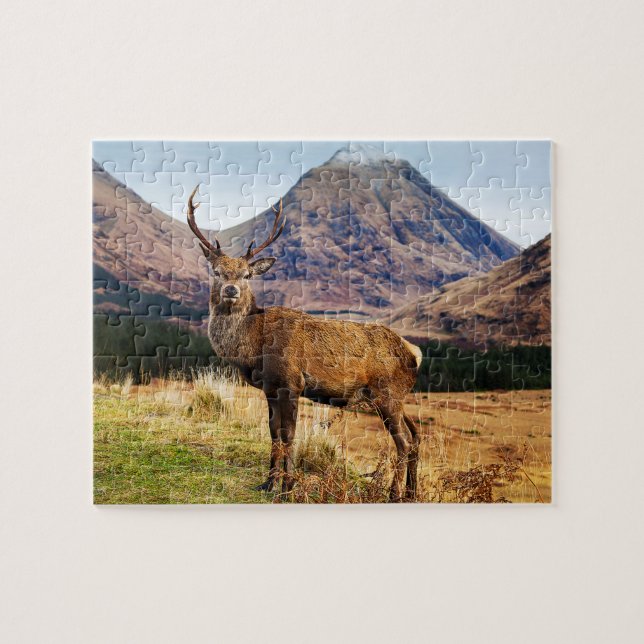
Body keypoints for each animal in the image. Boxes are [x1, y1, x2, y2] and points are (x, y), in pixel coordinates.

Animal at [186, 186, 424, 502]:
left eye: (247, 275)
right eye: (216, 272)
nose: (231, 290)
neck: (254, 348)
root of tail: (414, 353)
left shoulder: (292, 383)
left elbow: (288, 435)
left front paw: (288, 488)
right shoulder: (270, 388)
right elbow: (273, 432)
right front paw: (268, 484)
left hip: (388, 393)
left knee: (403, 443)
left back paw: (393, 495)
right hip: (396, 397)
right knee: (416, 434)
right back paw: (411, 492)